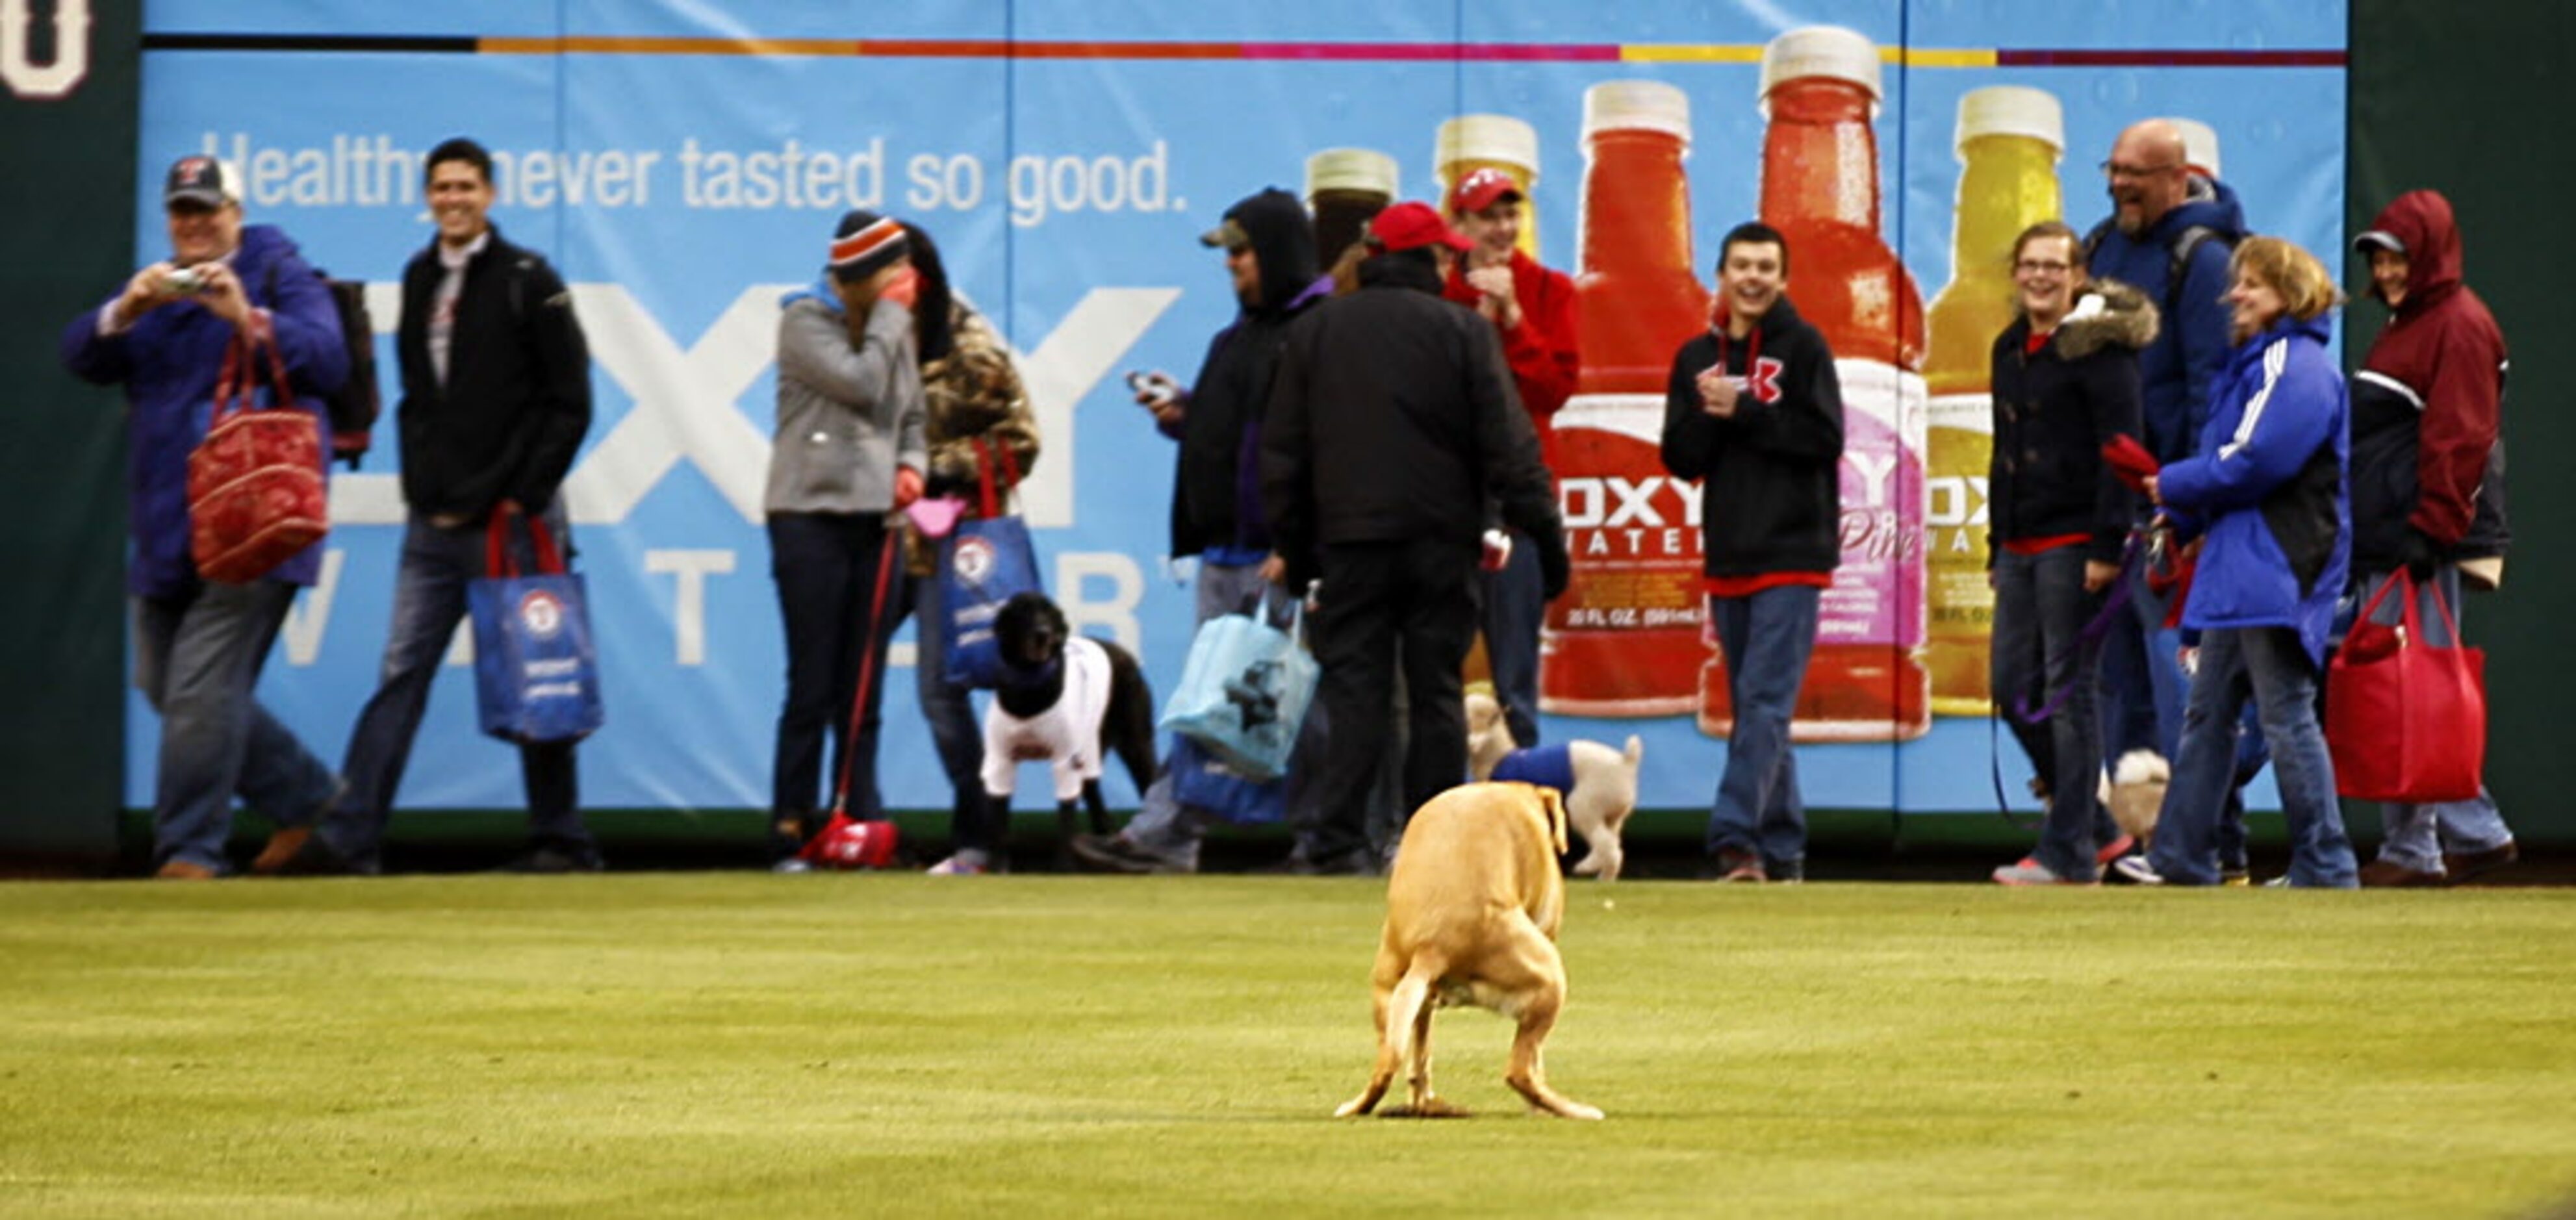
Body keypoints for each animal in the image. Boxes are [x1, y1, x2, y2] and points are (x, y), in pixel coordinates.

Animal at [1463, 689, 1638, 880]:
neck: (1499, 757)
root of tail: (1625, 763)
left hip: (1584, 806)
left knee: (1606, 844)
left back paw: (1587, 867)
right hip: (1613, 816)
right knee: (1612, 844)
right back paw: (1605, 877)